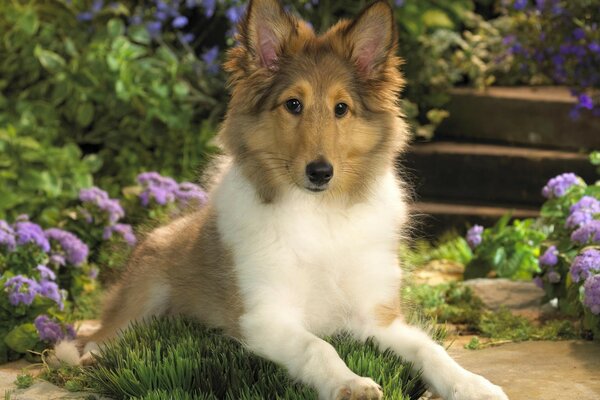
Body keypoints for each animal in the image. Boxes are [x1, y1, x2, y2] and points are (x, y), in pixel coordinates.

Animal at [56, 1, 508, 398]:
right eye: (293, 104)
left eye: (341, 108)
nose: (320, 172)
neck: (321, 216)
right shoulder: (264, 317)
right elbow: (318, 347)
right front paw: (351, 384)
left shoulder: (378, 317)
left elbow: (429, 349)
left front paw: (473, 385)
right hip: (147, 289)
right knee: (103, 334)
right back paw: (91, 355)